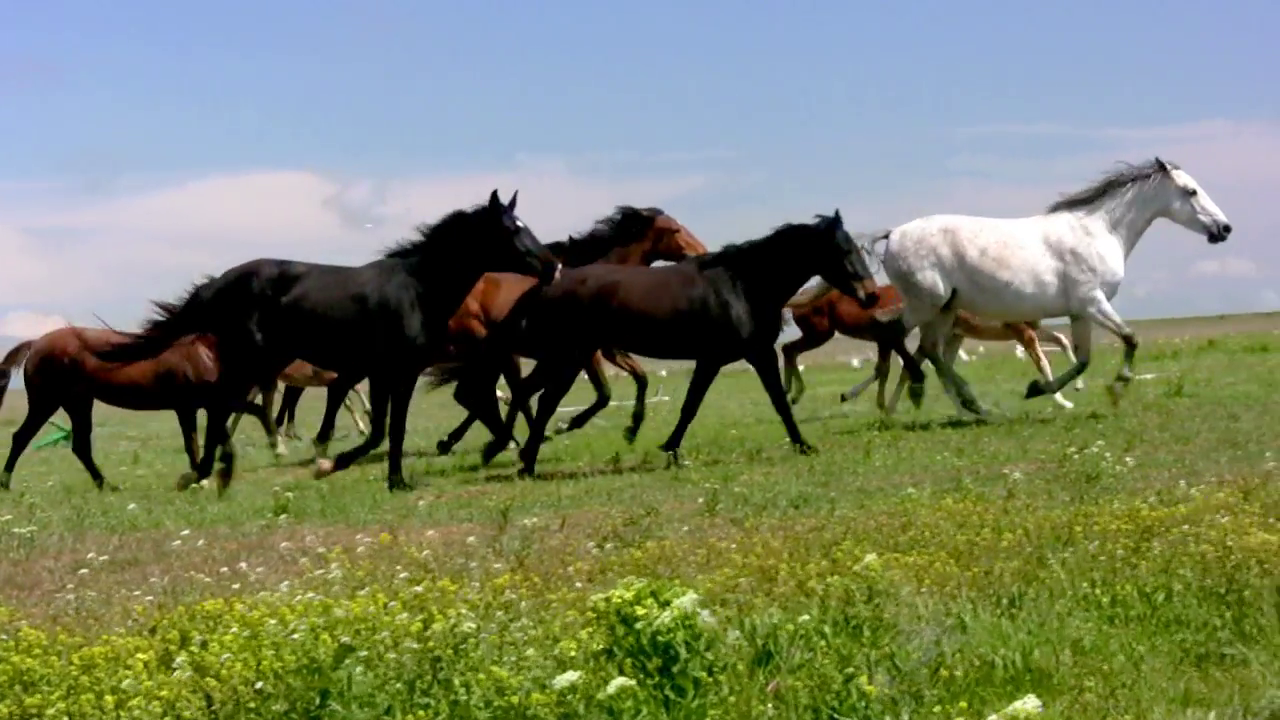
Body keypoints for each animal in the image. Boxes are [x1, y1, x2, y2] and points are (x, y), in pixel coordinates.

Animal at [0, 326, 279, 489]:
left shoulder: (211, 405)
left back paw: (105, 485)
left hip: (76, 403)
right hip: (49, 402)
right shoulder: (190, 406)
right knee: (24, 438)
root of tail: (36, 343)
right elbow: (196, 444)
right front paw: (196, 478)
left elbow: (248, 417)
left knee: (77, 446)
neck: (205, 352)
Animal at [92, 189, 563, 491]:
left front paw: (394, 480)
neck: (416, 289)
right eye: (510, 229)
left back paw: (209, 470)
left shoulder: (397, 373)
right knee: (221, 406)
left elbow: (388, 431)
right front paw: (327, 464)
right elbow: (379, 431)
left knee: (223, 407)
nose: (553, 266)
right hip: (252, 361)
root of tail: (219, 283)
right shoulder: (386, 372)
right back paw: (207, 471)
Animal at [424, 207, 916, 476]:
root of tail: (548, 281)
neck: (742, 284)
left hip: (563, 356)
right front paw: (803, 444)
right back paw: (511, 453)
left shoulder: (719, 359)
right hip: (566, 356)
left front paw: (667, 446)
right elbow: (766, 401)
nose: (871, 295)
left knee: (526, 396)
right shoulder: (744, 355)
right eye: (844, 250)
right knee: (531, 399)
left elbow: (696, 405)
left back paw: (514, 454)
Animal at [773, 283, 1085, 412]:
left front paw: (1078, 387)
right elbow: (1043, 362)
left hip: (950, 337)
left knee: (919, 366)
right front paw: (1062, 401)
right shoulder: (1023, 333)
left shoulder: (1031, 329)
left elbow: (1061, 340)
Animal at [875, 156, 1223, 415]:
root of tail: (892, 234)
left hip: (945, 311)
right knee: (897, 338)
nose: (1225, 228)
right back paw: (917, 396)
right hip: (926, 306)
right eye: (1191, 191)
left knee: (929, 352)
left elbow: (1082, 360)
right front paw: (1116, 388)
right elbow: (1130, 339)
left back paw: (966, 404)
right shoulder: (1093, 303)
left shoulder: (1080, 313)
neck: (1101, 230)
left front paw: (1038, 389)